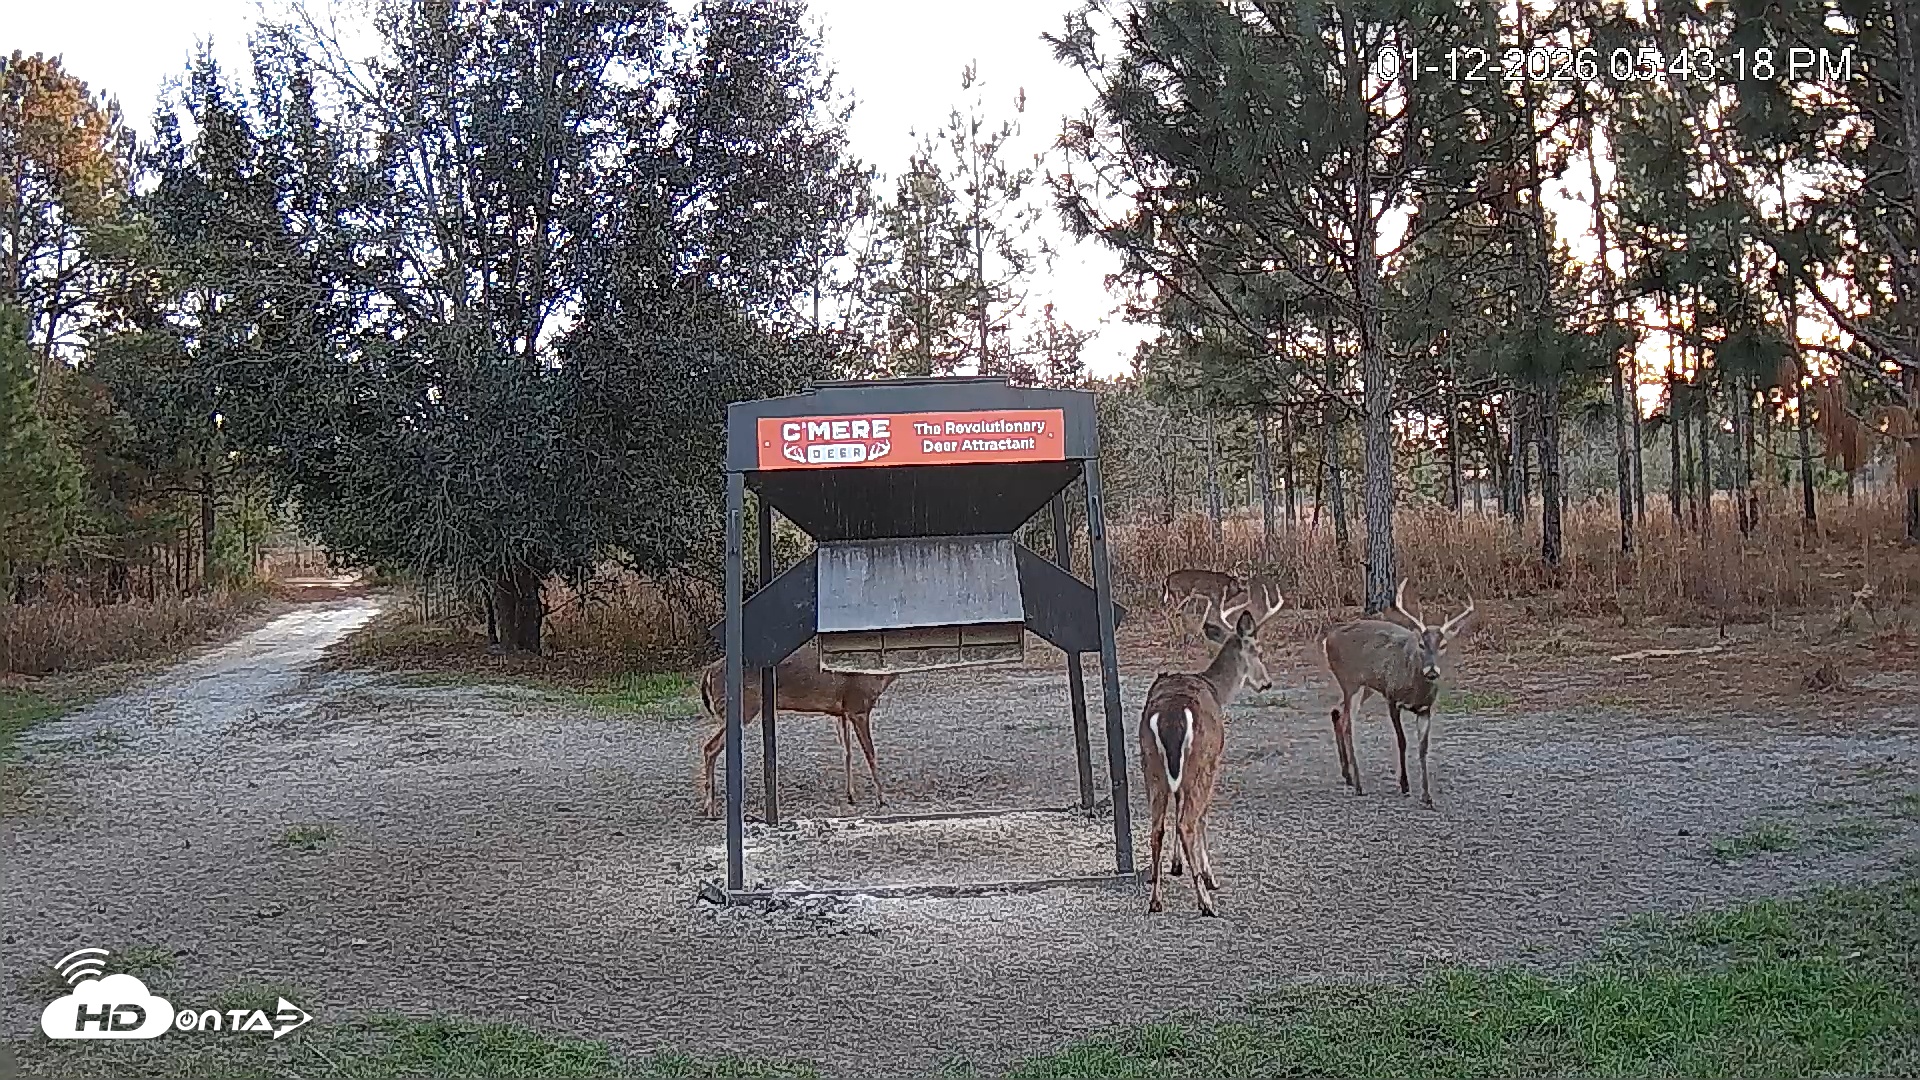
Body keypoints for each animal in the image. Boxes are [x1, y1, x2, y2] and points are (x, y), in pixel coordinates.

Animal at [697, 641, 897, 819]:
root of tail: (708, 671)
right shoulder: (859, 706)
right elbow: (870, 753)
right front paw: (882, 798)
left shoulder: (842, 711)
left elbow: (847, 753)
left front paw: (851, 795)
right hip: (744, 707)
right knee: (710, 748)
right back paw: (711, 808)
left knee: (709, 747)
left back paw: (708, 807)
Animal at [1138, 586, 1283, 916]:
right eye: (1258, 651)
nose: (1267, 683)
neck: (1215, 688)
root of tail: (1171, 716)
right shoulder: (1216, 759)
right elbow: (1204, 815)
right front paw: (1208, 875)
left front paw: (1176, 865)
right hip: (1199, 761)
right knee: (1189, 821)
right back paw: (1205, 900)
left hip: (1150, 765)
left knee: (1158, 826)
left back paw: (1156, 899)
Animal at [1320, 580, 1476, 807]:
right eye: (1421, 644)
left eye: (1443, 645)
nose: (1431, 671)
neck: (1415, 688)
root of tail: (1327, 640)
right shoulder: (1392, 697)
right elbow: (1402, 741)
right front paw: (1404, 785)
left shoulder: (1425, 709)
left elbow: (1423, 748)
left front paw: (1427, 795)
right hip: (1350, 681)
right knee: (1348, 722)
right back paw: (1358, 785)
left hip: (1365, 687)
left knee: (1337, 712)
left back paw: (1347, 776)